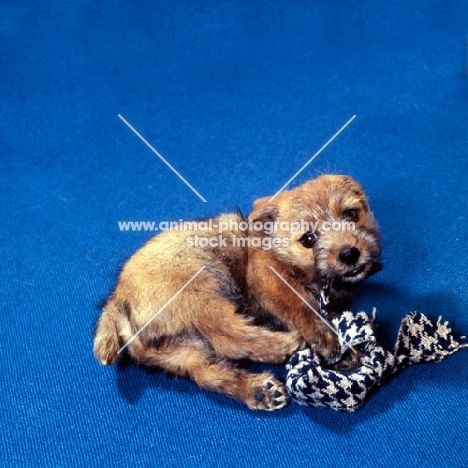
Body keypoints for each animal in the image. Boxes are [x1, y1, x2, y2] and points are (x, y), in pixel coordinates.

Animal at [94, 175, 380, 410]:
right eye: (308, 239)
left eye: (351, 214)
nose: (349, 254)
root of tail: (117, 300)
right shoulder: (269, 280)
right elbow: (302, 305)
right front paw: (329, 339)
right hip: (202, 286)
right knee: (229, 337)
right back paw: (285, 345)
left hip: (179, 353)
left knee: (209, 373)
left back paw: (259, 391)